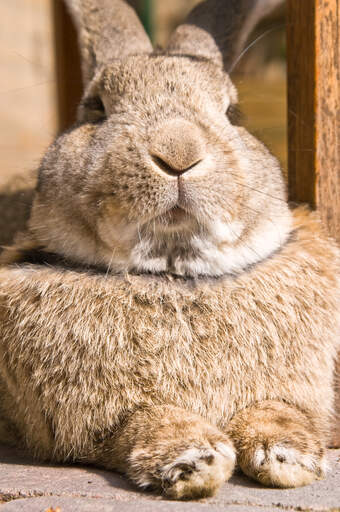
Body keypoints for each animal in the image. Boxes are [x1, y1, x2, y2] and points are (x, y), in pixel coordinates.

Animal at [0, 0, 338, 500]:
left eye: (233, 112)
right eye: (96, 108)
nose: (179, 152)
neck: (174, 277)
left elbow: (275, 409)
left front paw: (290, 455)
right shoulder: (91, 421)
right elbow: (139, 422)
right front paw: (193, 458)